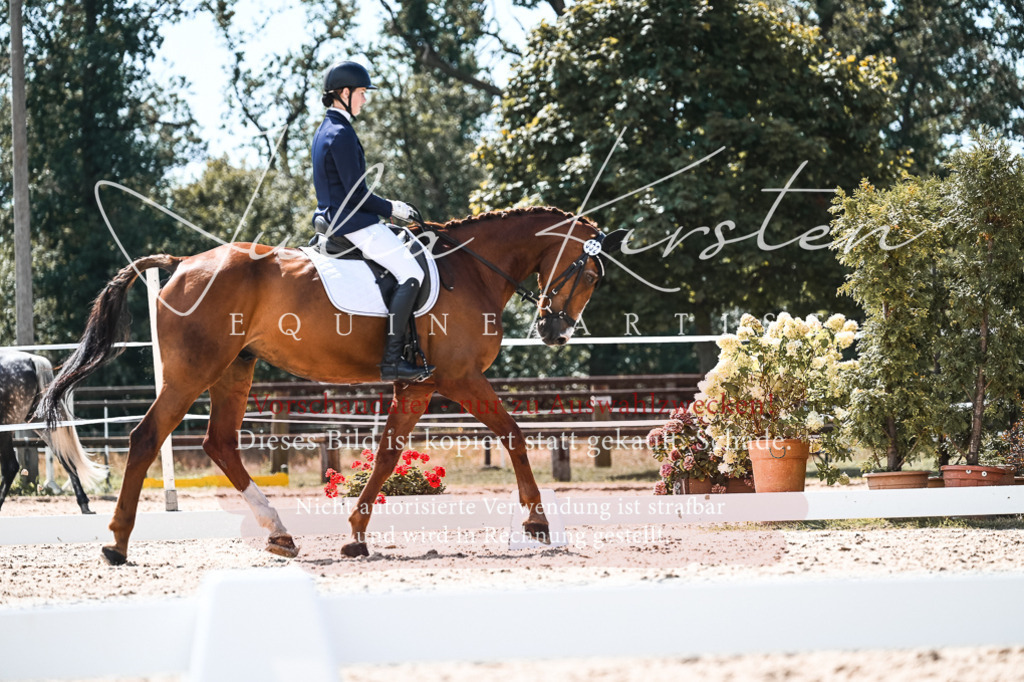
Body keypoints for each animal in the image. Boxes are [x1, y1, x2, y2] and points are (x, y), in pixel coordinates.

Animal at [0, 350, 107, 513]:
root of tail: (31, 359)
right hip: (39, 421)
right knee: (66, 456)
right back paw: (84, 506)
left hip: (7, 428)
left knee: (10, 467)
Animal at [37, 206, 622, 565]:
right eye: (591, 275)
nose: (556, 332)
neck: (471, 270)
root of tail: (181, 263)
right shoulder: (460, 378)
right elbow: (515, 434)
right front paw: (538, 522)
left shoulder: (417, 387)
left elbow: (387, 455)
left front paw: (357, 535)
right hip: (194, 372)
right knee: (145, 439)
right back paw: (117, 544)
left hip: (235, 368)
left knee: (220, 443)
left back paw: (279, 533)